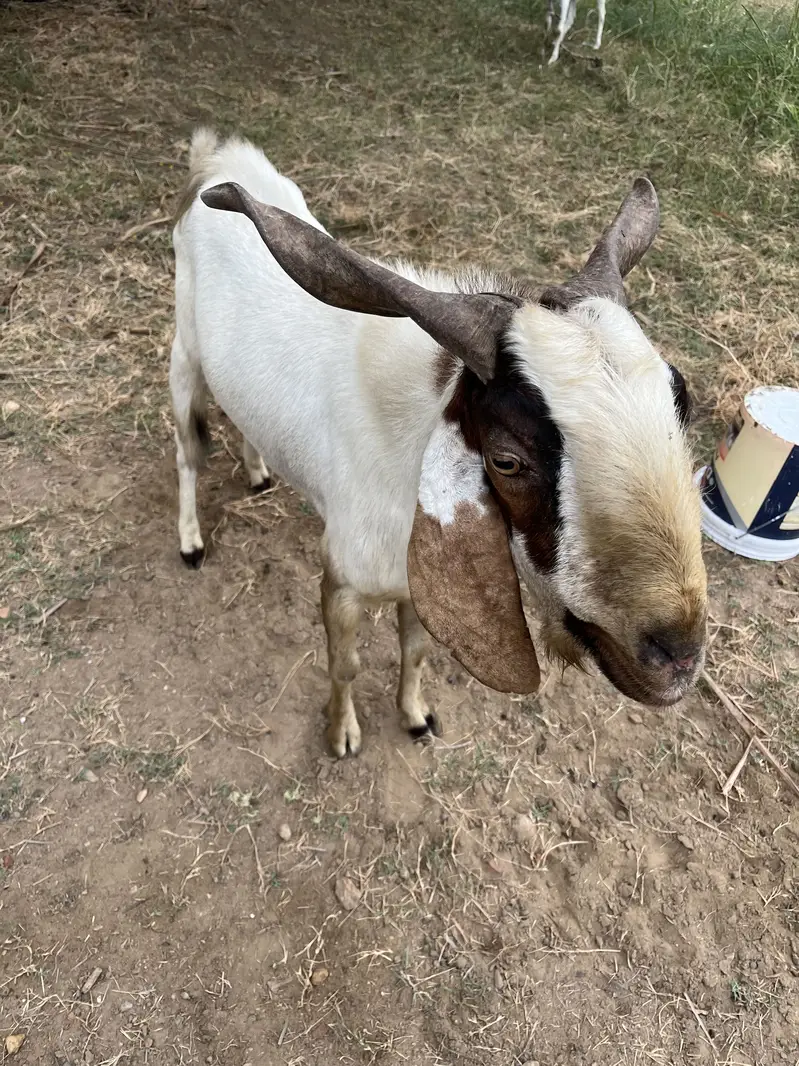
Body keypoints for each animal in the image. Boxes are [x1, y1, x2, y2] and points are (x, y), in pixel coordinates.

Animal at [171, 129, 707, 758]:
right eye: (507, 460)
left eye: (681, 404)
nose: (677, 655)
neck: (406, 446)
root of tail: (217, 158)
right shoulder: (343, 576)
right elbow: (345, 664)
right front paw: (341, 734)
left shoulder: (415, 584)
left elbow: (417, 649)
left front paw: (415, 716)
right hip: (184, 352)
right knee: (187, 450)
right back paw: (190, 541)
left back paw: (258, 471)